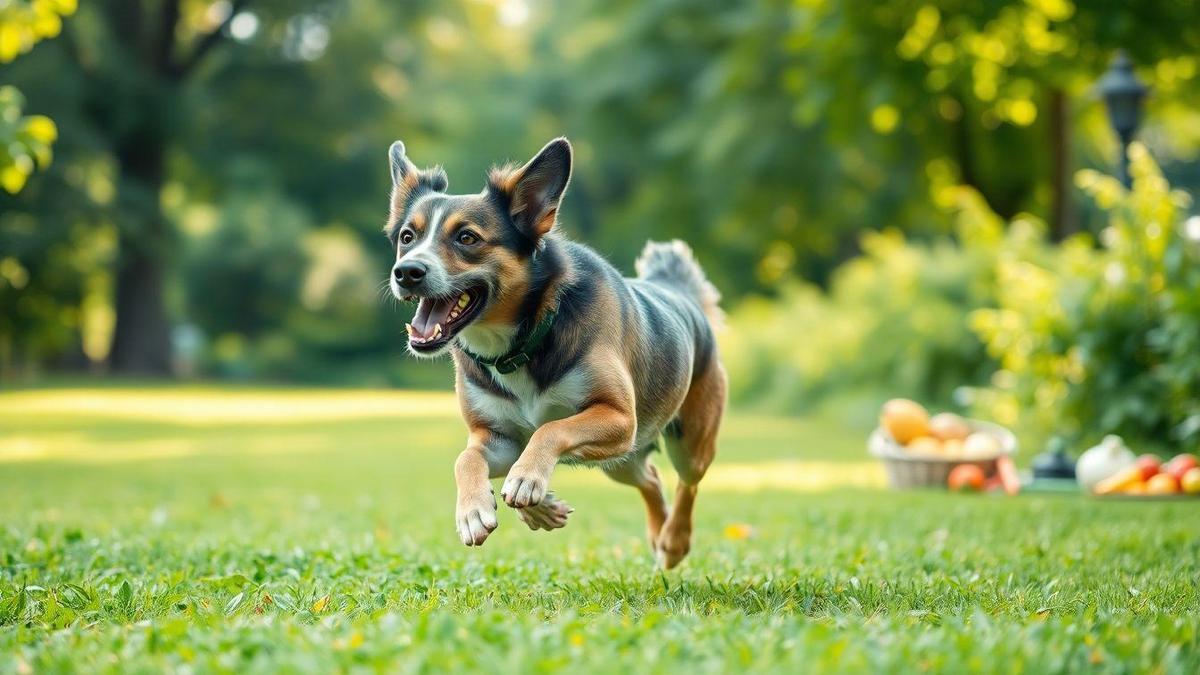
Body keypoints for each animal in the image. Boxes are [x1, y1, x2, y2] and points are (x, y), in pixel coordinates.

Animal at [386, 138, 720, 566]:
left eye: (467, 238)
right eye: (407, 237)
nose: (406, 272)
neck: (521, 342)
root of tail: (677, 291)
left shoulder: (618, 416)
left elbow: (550, 429)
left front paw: (528, 480)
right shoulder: (495, 436)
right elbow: (467, 458)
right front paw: (477, 510)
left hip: (683, 442)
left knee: (687, 483)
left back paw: (674, 540)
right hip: (623, 459)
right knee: (651, 478)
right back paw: (656, 536)